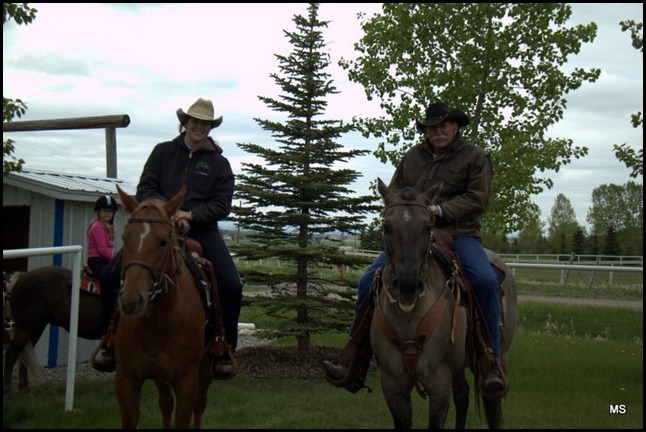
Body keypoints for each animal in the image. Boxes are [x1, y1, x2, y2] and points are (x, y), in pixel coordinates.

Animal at [3, 266, 102, 397]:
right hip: (26, 328)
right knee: (11, 354)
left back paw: (24, 389)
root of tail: (22, 277)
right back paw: (7, 393)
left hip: (36, 328)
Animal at [114, 185, 213, 429]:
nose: (131, 301)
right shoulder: (126, 378)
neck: (158, 320)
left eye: (163, 242)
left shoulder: (187, 381)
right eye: (124, 238)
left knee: (200, 405)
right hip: (159, 375)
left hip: (205, 367)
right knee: (166, 403)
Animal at [370, 178, 518, 429]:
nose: (408, 285)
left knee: (492, 404)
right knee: (463, 395)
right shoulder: (392, 384)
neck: (409, 316)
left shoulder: (439, 382)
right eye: (386, 226)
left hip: (498, 359)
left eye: (428, 226)